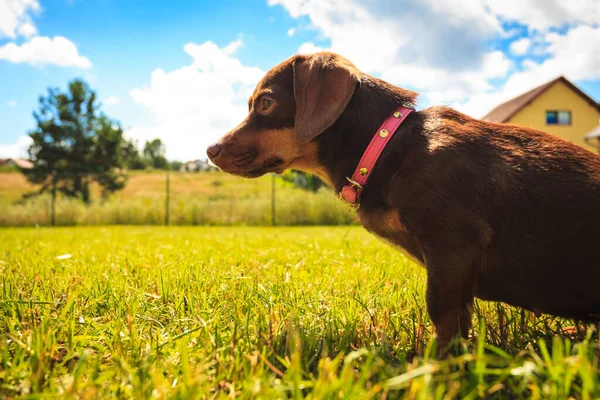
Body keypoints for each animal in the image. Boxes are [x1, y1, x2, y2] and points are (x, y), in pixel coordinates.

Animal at [207, 52, 600, 346]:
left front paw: (438, 369)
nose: (210, 150)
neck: (390, 144)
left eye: (266, 102)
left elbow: (443, 314)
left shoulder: (454, 244)